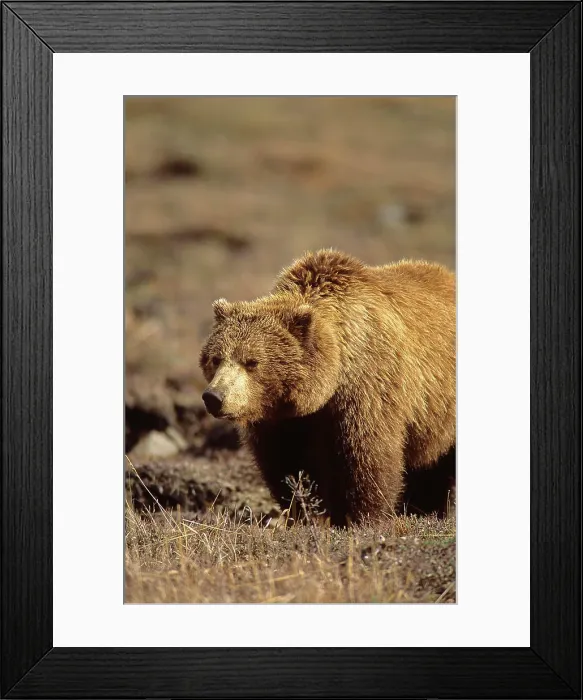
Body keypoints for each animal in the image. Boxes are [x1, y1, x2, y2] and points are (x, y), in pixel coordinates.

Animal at [199, 249, 456, 525]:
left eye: (252, 361)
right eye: (216, 358)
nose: (214, 397)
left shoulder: (367, 390)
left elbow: (366, 459)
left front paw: (362, 518)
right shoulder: (281, 420)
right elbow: (286, 465)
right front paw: (305, 513)